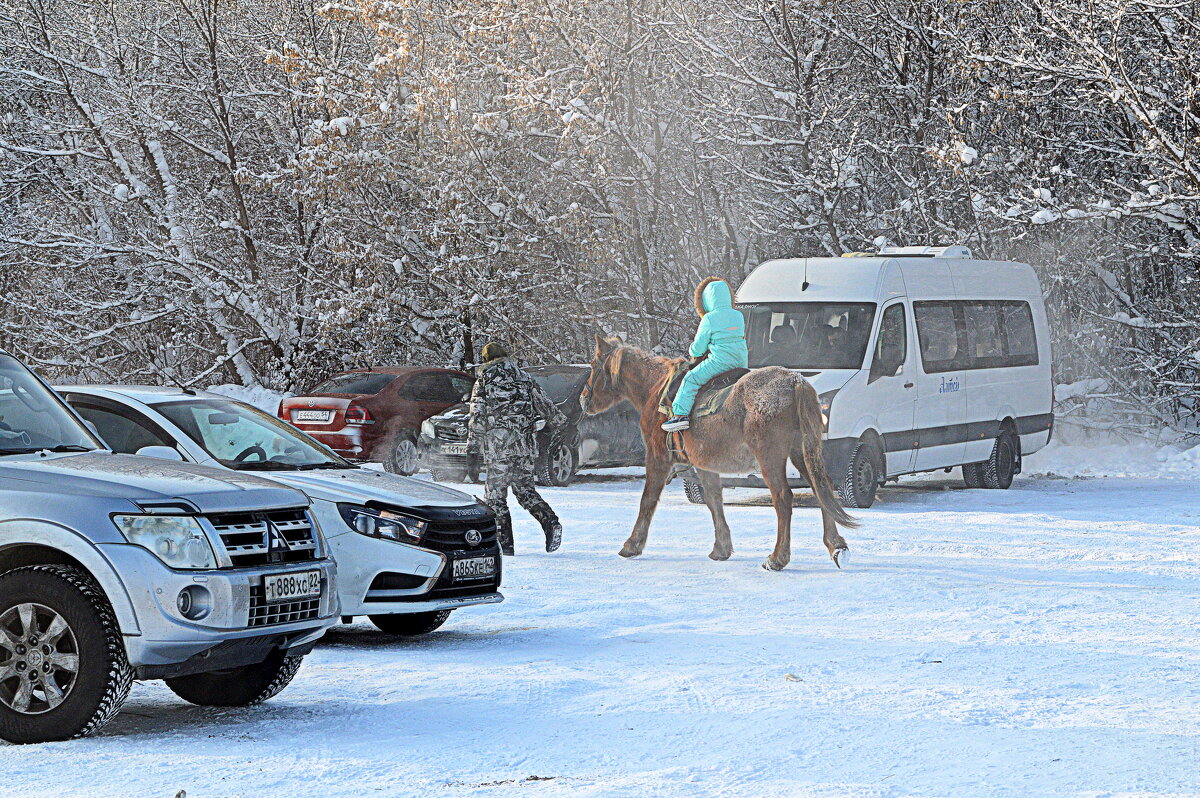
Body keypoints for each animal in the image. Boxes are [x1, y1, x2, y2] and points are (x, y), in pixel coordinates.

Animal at [578, 333, 854, 568]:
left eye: (592, 365)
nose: (582, 399)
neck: (655, 389)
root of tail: (794, 382)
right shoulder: (703, 464)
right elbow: (714, 501)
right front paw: (721, 547)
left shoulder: (657, 457)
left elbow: (647, 500)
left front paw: (632, 544)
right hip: (802, 452)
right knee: (821, 489)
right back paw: (836, 546)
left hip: (770, 457)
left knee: (783, 499)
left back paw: (778, 557)